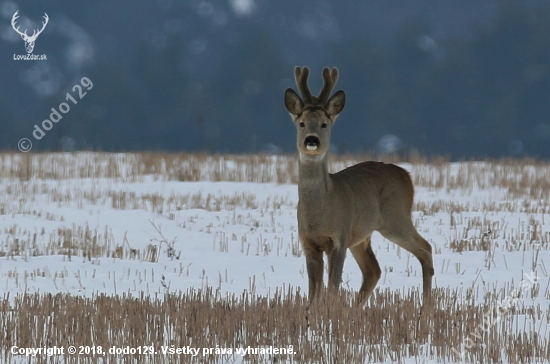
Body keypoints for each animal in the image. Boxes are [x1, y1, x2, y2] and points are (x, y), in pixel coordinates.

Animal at [284, 66, 436, 304]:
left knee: (425, 248)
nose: (312, 140)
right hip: (362, 237)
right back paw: (356, 308)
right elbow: (313, 292)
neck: (320, 211)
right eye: (301, 123)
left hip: (395, 217)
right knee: (373, 270)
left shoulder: (340, 237)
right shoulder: (308, 242)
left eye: (324, 124)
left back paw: (427, 305)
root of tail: (406, 175)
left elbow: (332, 288)